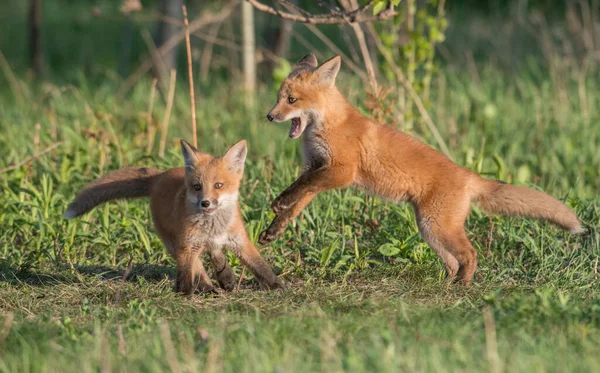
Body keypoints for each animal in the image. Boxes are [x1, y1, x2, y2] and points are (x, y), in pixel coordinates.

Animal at [64, 140, 284, 294]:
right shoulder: (188, 244)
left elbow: (260, 265)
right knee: (199, 265)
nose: (205, 203)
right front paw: (184, 292)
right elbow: (188, 271)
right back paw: (208, 287)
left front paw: (277, 285)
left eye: (218, 185)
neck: (213, 227)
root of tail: (160, 175)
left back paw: (225, 278)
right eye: (197, 187)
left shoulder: (239, 240)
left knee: (214, 254)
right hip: (173, 242)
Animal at [260, 53, 584, 284]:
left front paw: (279, 204)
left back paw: (463, 286)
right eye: (278, 98)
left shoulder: (340, 172)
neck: (328, 126)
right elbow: (297, 199)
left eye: (291, 100)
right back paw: (447, 285)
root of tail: (468, 175)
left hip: (437, 227)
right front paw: (274, 228)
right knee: (454, 261)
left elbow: (299, 190)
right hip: (430, 230)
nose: (269, 116)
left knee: (471, 254)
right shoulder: (316, 168)